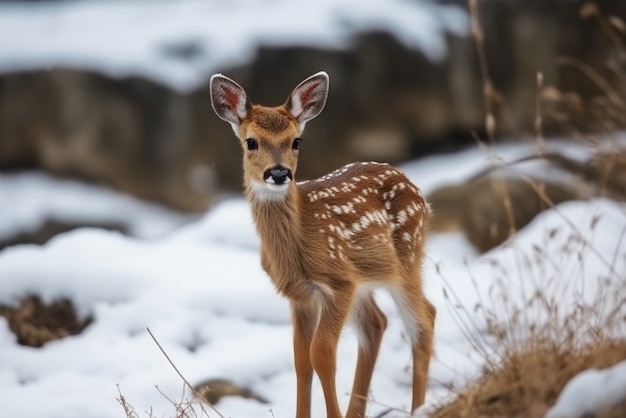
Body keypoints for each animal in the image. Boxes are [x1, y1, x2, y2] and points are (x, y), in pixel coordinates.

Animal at [210, 72, 434, 418]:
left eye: (296, 141)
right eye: (251, 142)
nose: (278, 173)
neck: (300, 241)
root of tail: (418, 192)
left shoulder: (339, 283)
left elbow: (322, 355)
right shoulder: (301, 295)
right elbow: (302, 360)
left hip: (407, 259)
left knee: (424, 321)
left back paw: (419, 408)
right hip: (368, 279)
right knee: (377, 324)